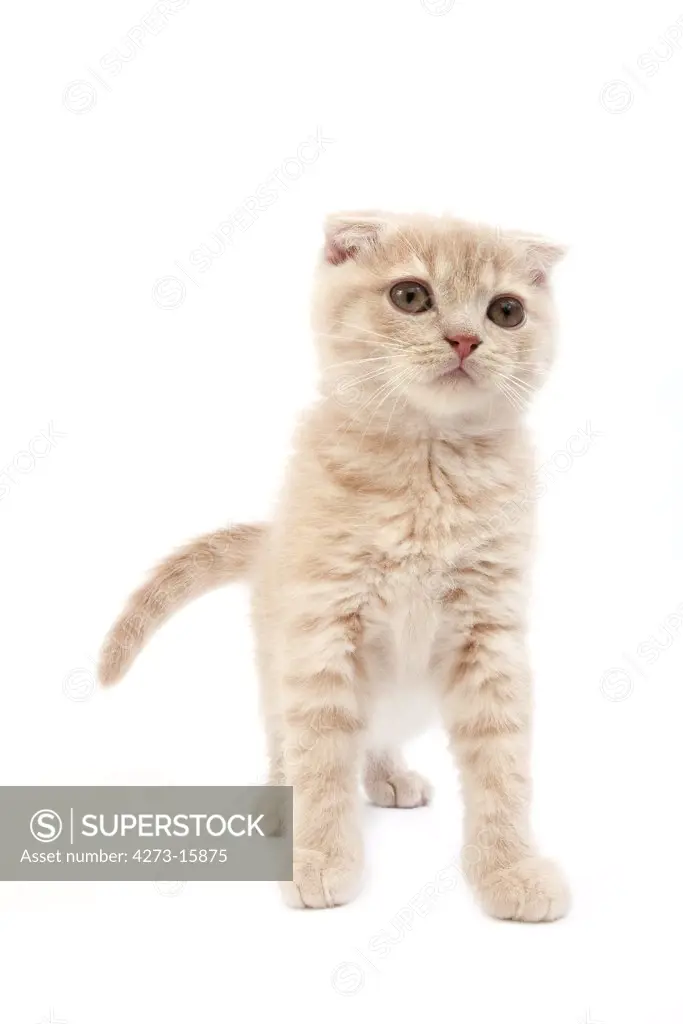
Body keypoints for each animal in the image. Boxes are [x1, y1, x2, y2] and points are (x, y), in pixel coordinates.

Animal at [100, 207, 573, 921]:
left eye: (507, 311)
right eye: (411, 296)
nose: (466, 339)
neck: (428, 469)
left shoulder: (490, 634)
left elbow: (502, 760)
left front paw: (509, 868)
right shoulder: (323, 627)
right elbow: (320, 750)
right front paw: (320, 856)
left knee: (376, 735)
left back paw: (388, 776)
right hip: (276, 661)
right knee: (284, 738)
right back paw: (281, 803)